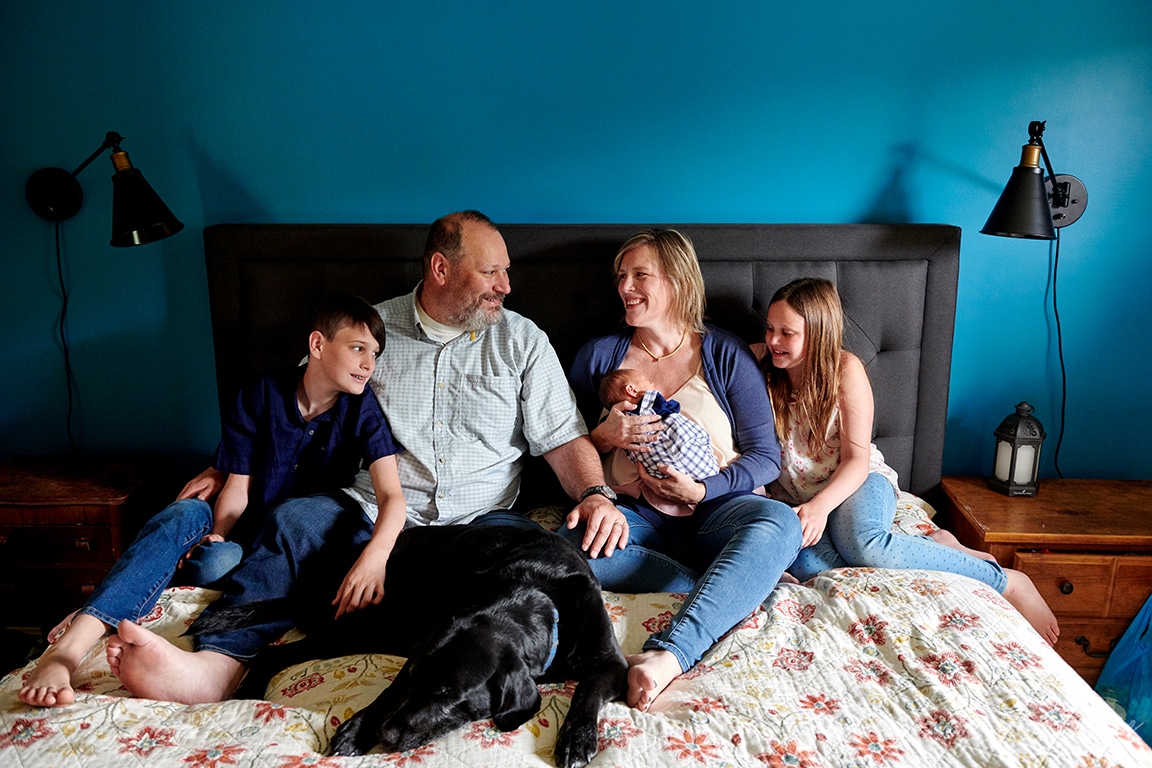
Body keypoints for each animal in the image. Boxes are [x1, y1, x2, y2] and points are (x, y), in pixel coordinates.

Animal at [187, 522, 626, 768]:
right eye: (418, 678)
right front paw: (358, 729)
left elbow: (587, 690)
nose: (387, 734)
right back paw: (246, 690)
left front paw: (576, 739)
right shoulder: (419, 650)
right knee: (274, 651)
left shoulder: (613, 666)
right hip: (367, 624)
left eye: (449, 694)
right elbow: (389, 692)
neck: (535, 590)